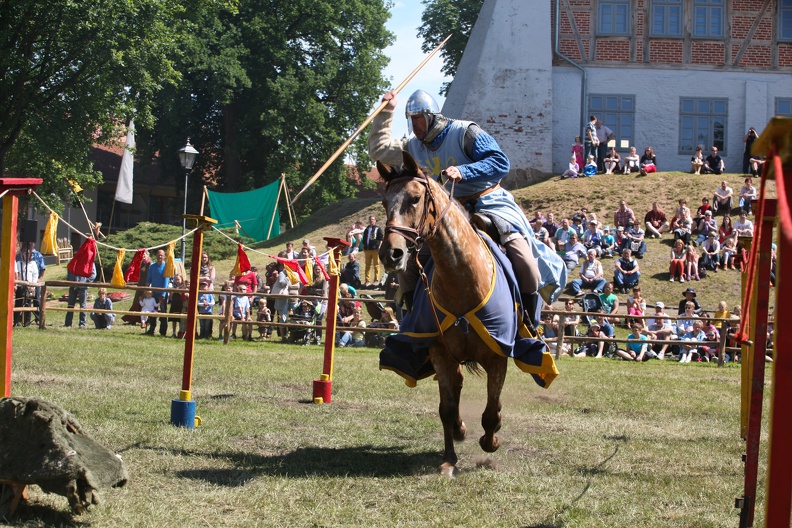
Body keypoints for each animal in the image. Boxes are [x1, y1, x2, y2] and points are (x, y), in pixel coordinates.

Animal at [378, 151, 544, 476]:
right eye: (384, 202)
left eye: (414, 198)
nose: (391, 254)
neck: (463, 281)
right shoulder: (441, 353)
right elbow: (446, 409)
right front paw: (449, 458)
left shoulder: (497, 356)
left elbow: (491, 411)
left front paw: (491, 441)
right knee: (454, 391)